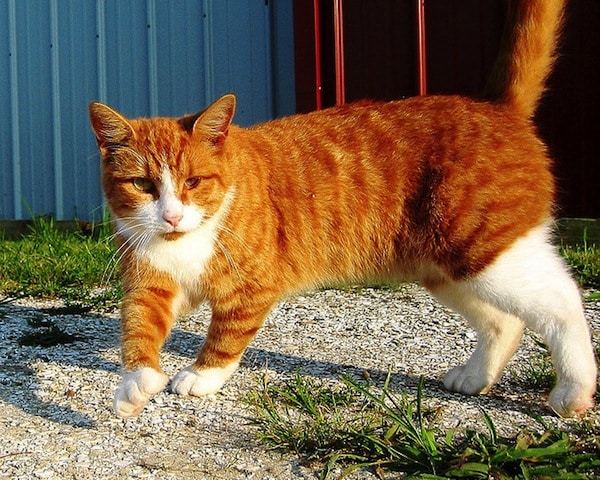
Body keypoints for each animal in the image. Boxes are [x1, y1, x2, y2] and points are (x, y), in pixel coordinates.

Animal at [89, 0, 596, 418]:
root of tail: (495, 107)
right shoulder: (154, 285)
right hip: (448, 268)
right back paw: (475, 376)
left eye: (193, 182)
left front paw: (201, 375)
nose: (172, 215)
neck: (187, 239)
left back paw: (574, 389)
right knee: (504, 322)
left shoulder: (251, 286)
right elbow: (138, 326)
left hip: (487, 251)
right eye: (143, 185)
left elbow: (227, 333)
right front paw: (136, 384)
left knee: (563, 300)